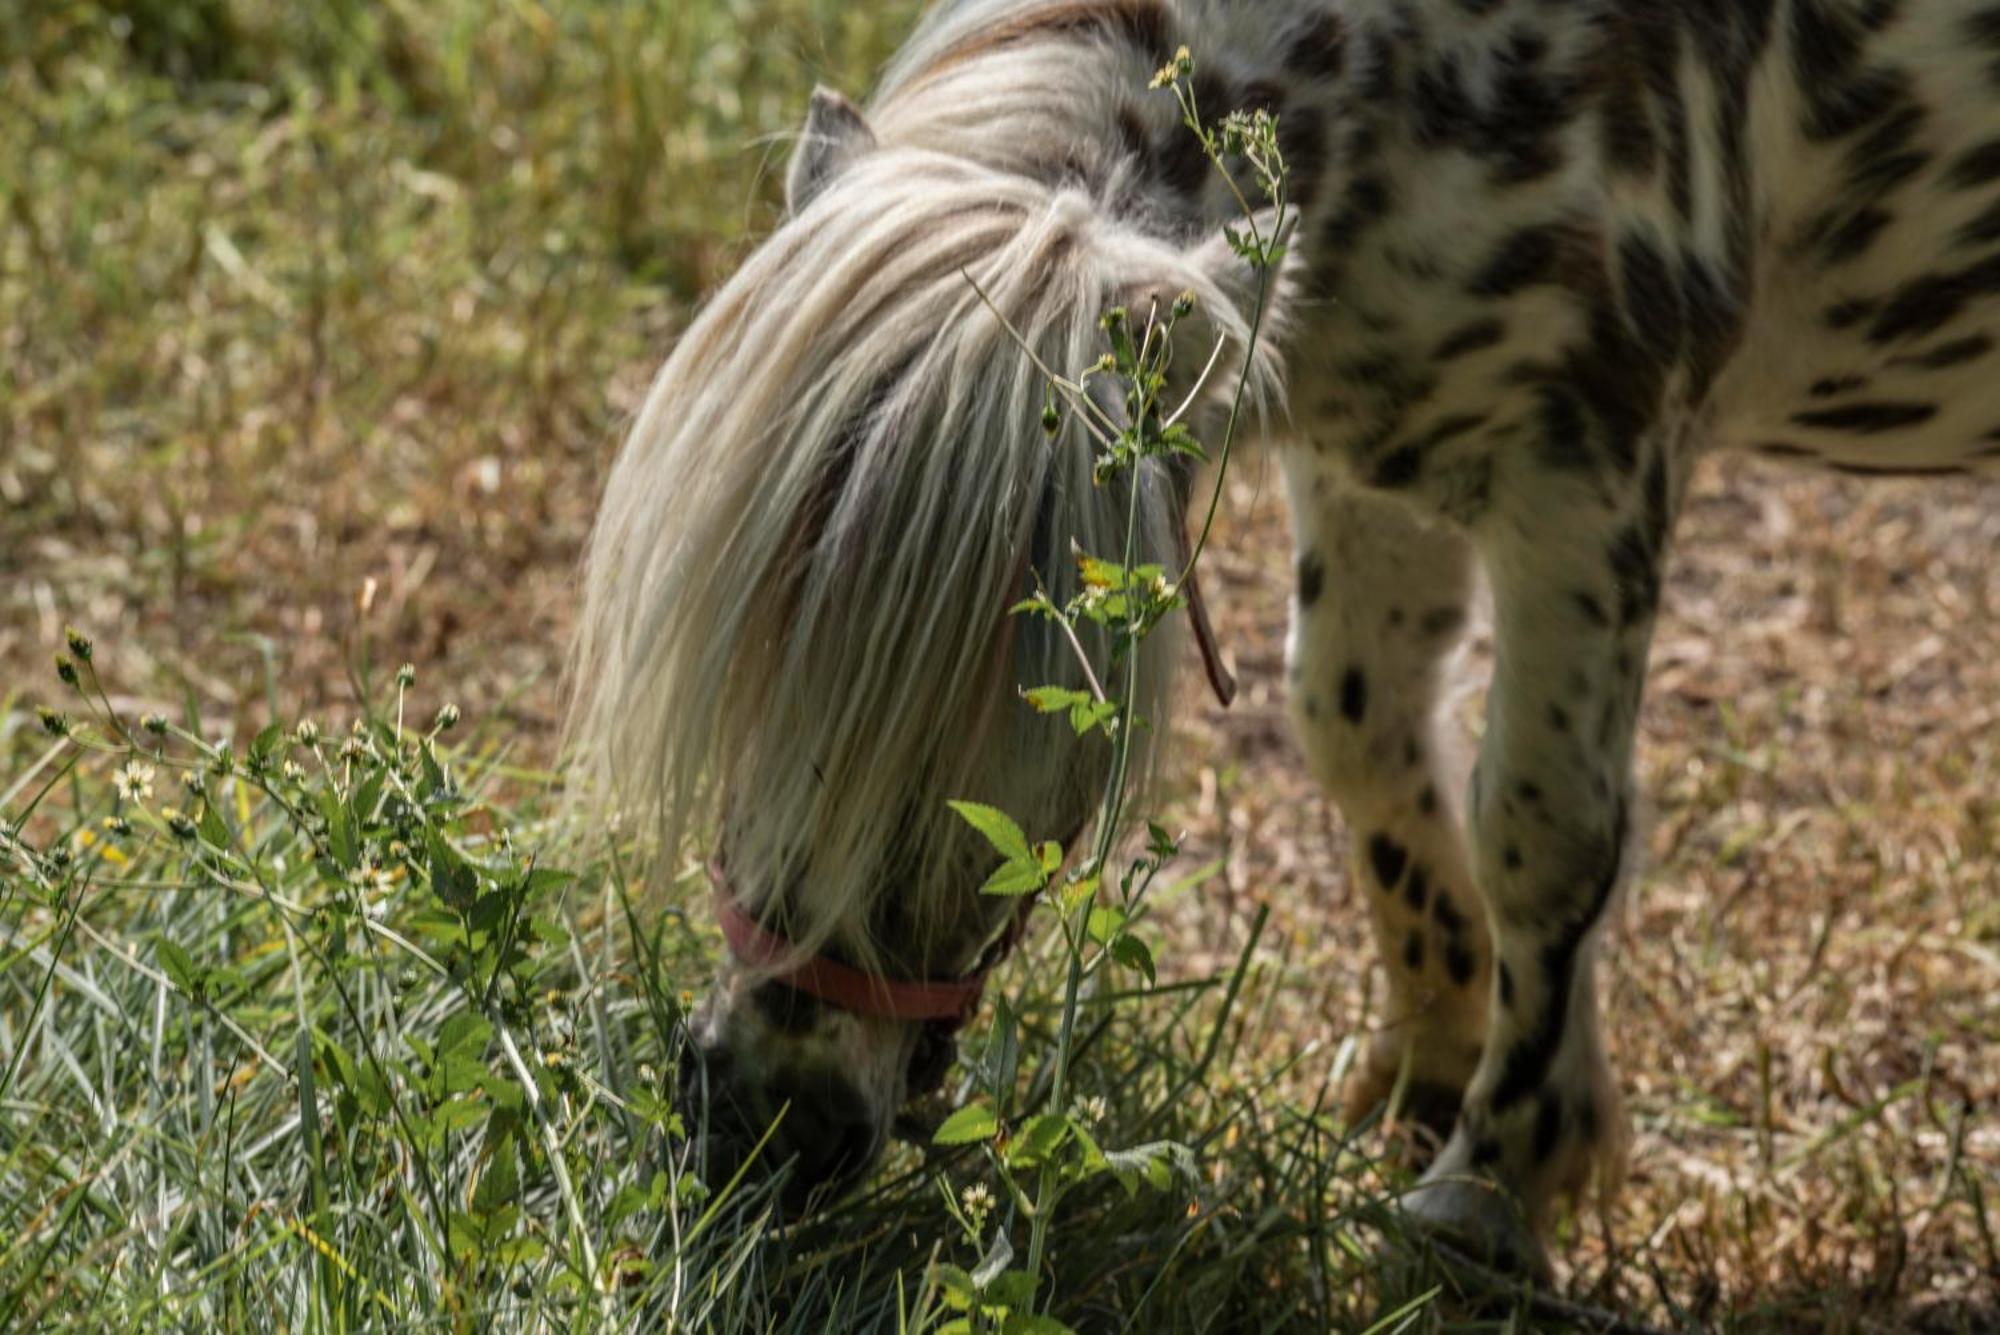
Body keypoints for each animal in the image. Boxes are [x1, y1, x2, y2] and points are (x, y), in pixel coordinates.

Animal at [576, 0, 2000, 1279]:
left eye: (1016, 728)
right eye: (745, 671)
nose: (765, 1125)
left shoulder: (1587, 466)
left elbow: (1543, 835)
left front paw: (1486, 1194)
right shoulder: (1375, 454)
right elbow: (1359, 737)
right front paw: (1431, 1076)